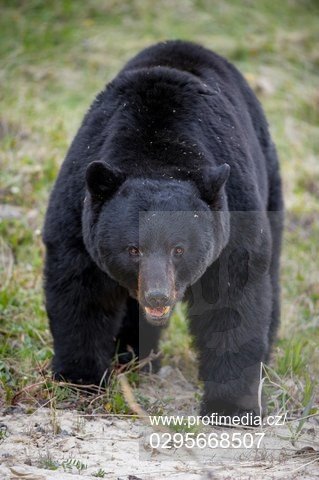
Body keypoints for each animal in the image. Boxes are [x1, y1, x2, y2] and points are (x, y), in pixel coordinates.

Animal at [43, 43, 284, 422]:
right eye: (133, 249)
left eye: (179, 249)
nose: (157, 296)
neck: (156, 152)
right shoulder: (76, 210)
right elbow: (79, 289)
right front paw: (80, 379)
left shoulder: (235, 215)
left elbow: (233, 298)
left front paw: (231, 406)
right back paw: (132, 356)